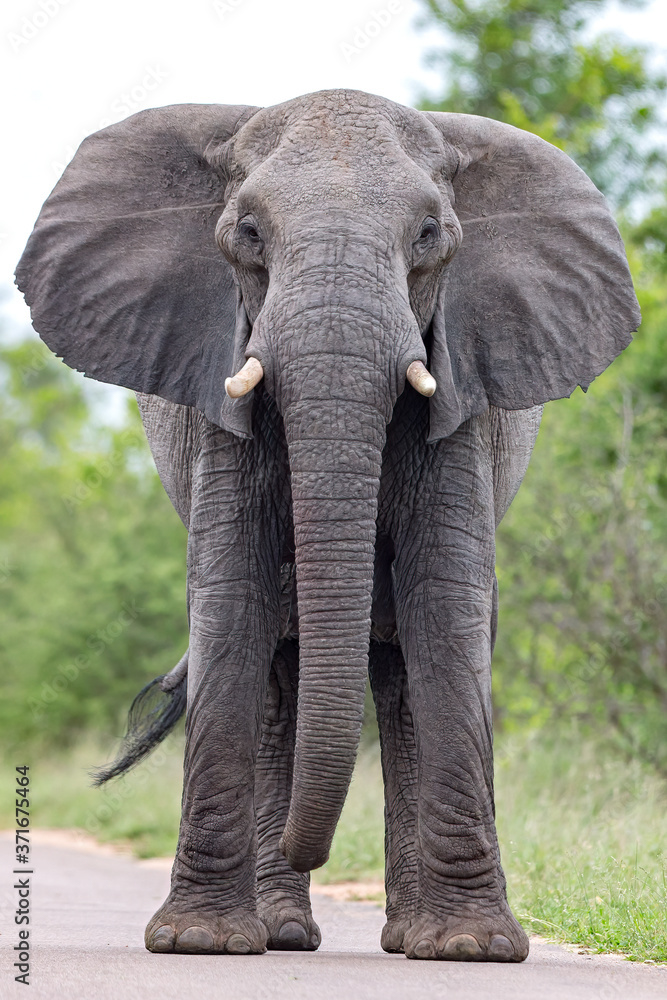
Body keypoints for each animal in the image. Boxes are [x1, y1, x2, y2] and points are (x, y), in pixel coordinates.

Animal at [16, 89, 639, 962]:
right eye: (248, 234)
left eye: (428, 236)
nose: (308, 848)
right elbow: (232, 600)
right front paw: (197, 942)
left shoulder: (462, 398)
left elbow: (443, 606)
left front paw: (473, 949)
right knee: (284, 667)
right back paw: (279, 932)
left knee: (399, 670)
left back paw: (407, 936)